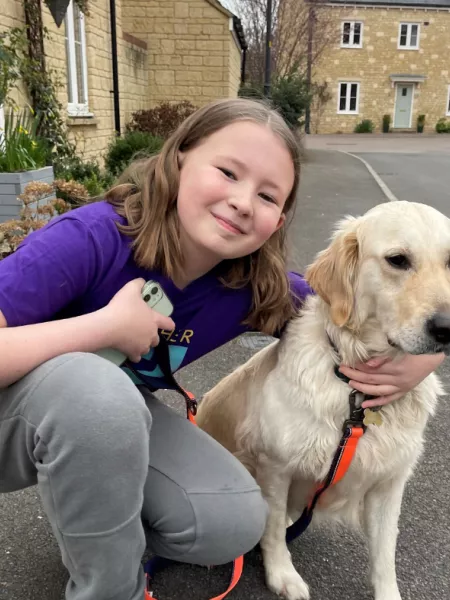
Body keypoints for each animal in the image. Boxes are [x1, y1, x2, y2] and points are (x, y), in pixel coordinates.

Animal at [198, 202, 450, 600]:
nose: (447, 328)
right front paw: (283, 575)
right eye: (398, 260)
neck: (355, 389)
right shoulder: (275, 464)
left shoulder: (389, 483)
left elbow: (385, 556)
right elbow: (273, 531)